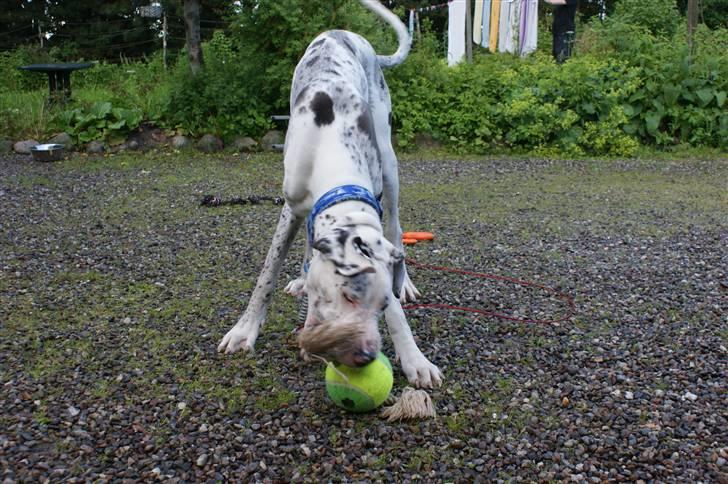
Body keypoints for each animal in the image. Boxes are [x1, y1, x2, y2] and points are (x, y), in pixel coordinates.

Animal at [216, 0, 440, 386]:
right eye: (348, 296)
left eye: (381, 305)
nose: (366, 357)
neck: (334, 150)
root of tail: (348, 34)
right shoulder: (290, 208)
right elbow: (267, 275)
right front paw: (245, 330)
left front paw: (414, 357)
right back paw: (300, 280)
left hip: (390, 165)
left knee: (396, 228)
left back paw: (405, 282)